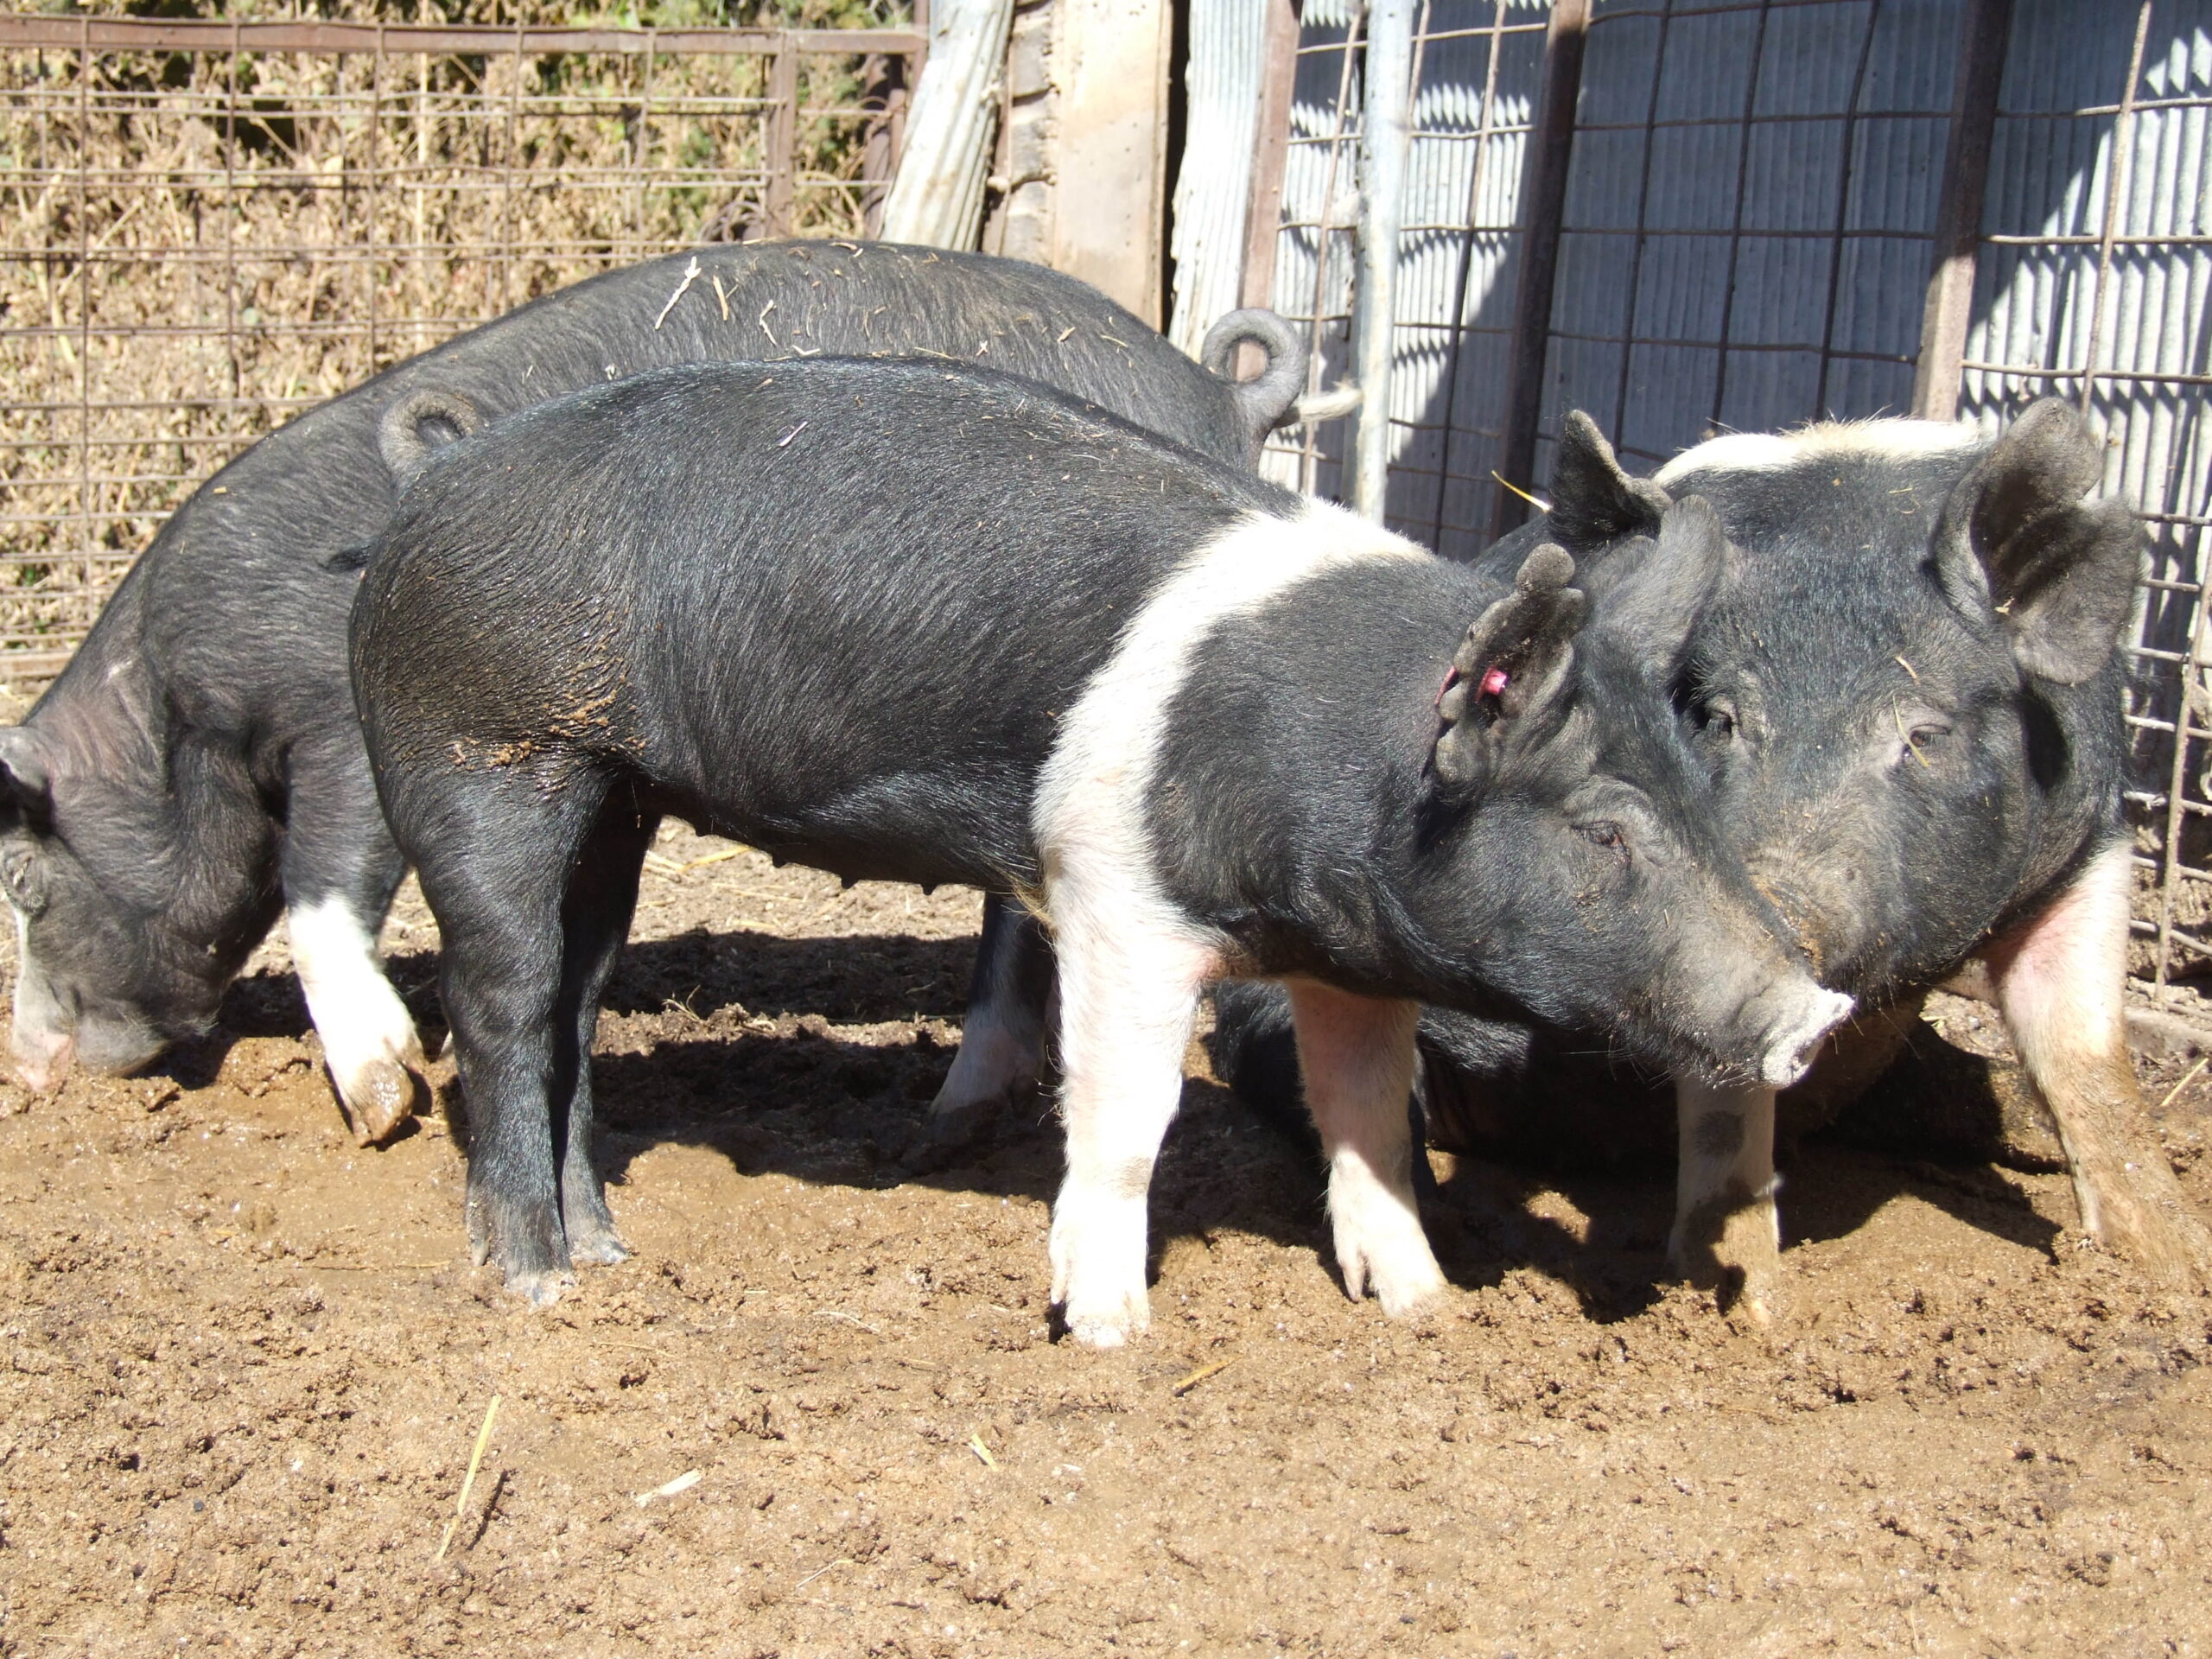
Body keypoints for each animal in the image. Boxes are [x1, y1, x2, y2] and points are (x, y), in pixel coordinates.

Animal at [0, 239, 1304, 1147]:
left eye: (20, 883)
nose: (30, 1071)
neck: (183, 724)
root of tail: (1218, 392)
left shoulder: (348, 721)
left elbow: (324, 895)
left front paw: (385, 1108)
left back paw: (943, 1115)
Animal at [347, 356, 1852, 1330]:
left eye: (1702, 785)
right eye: (1604, 831)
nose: (1815, 1008)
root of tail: (428, 481)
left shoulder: (1354, 958)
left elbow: (1370, 1120)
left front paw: (1420, 1310)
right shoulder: (1110, 894)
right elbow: (1129, 1121)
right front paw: (1108, 1328)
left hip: (617, 798)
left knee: (582, 999)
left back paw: (606, 1252)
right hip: (472, 750)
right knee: (500, 1000)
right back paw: (534, 1283)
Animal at [1215, 398, 2212, 1316]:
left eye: (1922, 733)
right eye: (1716, 716)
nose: (1784, 913)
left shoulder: (2089, 844)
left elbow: (2089, 1059)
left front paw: (2171, 1272)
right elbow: (1727, 1108)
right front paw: (1747, 1312)